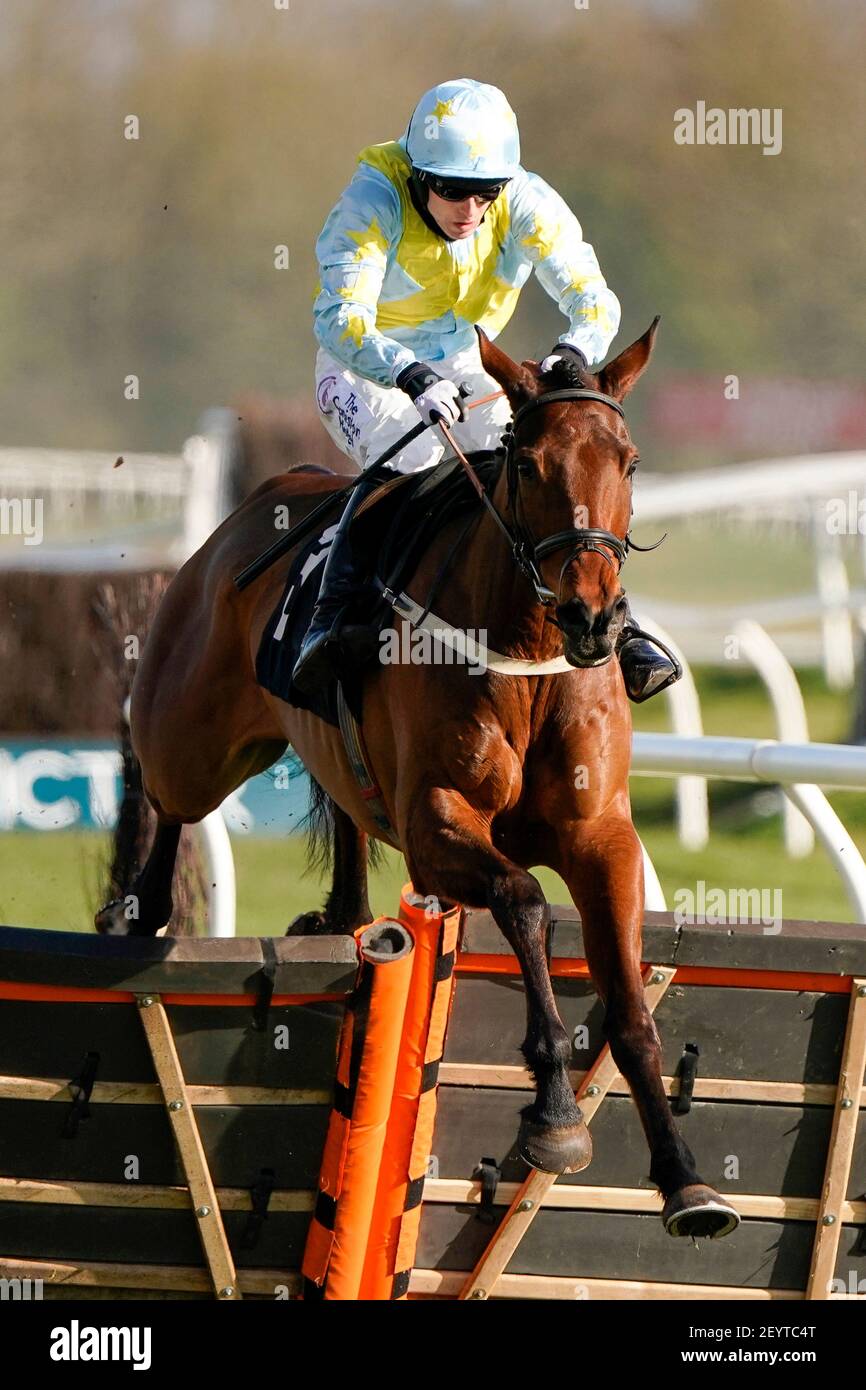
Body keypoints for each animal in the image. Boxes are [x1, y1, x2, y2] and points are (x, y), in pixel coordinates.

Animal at [100, 322, 739, 1239]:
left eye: (630, 461)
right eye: (529, 464)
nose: (590, 616)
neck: (528, 658)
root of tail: (259, 502)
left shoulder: (600, 836)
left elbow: (629, 1005)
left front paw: (686, 1180)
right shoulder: (438, 827)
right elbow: (523, 899)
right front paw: (553, 1113)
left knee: (337, 816)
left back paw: (337, 913)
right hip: (190, 737)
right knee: (164, 794)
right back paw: (142, 910)